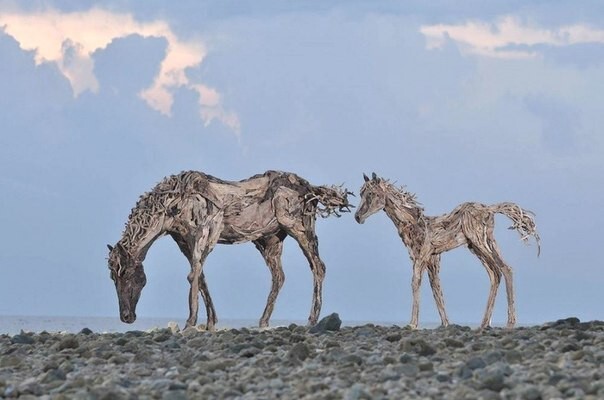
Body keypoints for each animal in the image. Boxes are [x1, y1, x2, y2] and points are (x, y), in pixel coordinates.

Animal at [109, 170, 354, 330]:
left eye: (127, 273)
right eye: (113, 277)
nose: (126, 317)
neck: (173, 205)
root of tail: (311, 189)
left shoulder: (204, 233)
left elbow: (193, 275)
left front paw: (190, 322)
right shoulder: (183, 241)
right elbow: (200, 276)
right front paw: (210, 322)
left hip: (299, 228)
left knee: (318, 266)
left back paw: (312, 319)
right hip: (270, 240)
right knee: (279, 276)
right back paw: (263, 321)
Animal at [352, 173, 540, 330]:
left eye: (371, 193)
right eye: (361, 193)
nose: (357, 217)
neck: (413, 224)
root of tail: (489, 209)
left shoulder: (421, 256)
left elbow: (415, 282)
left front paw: (412, 324)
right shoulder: (433, 259)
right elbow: (436, 288)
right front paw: (446, 324)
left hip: (479, 242)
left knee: (500, 270)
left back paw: (505, 323)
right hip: (480, 245)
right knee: (500, 271)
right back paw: (488, 323)